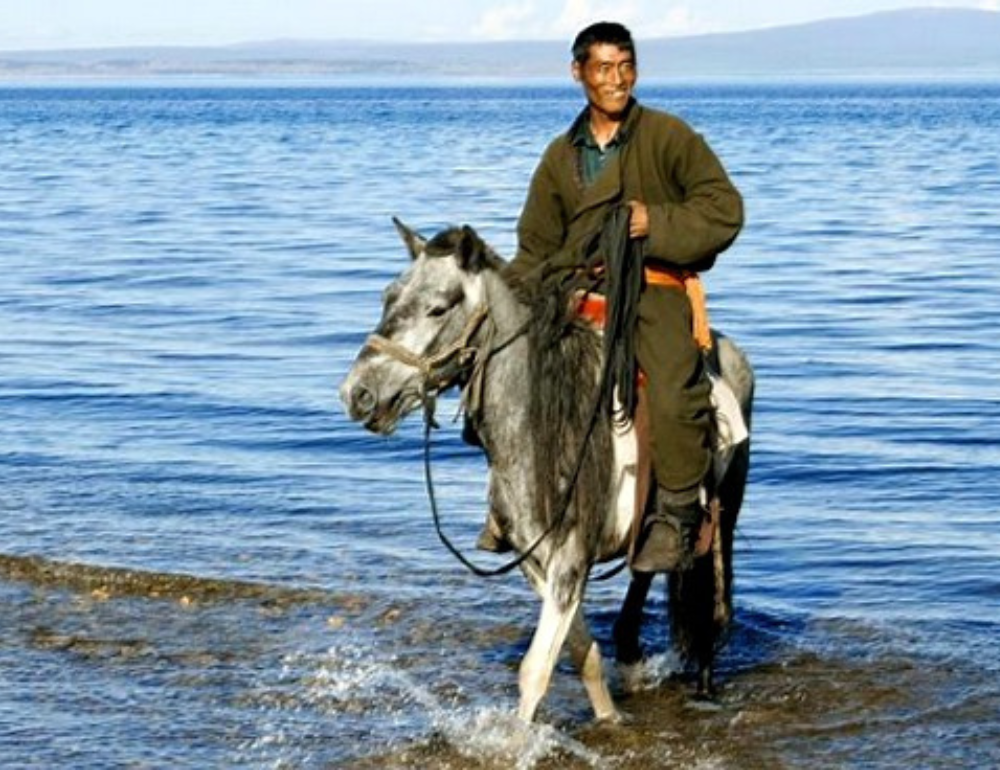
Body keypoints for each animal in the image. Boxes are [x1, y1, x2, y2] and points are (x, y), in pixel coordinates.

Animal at [338, 218, 752, 720]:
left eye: (438, 308)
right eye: (388, 297)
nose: (358, 394)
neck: (542, 424)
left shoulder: (571, 556)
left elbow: (535, 669)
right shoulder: (533, 558)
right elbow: (579, 651)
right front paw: (609, 717)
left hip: (725, 508)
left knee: (709, 604)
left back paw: (705, 689)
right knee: (646, 574)